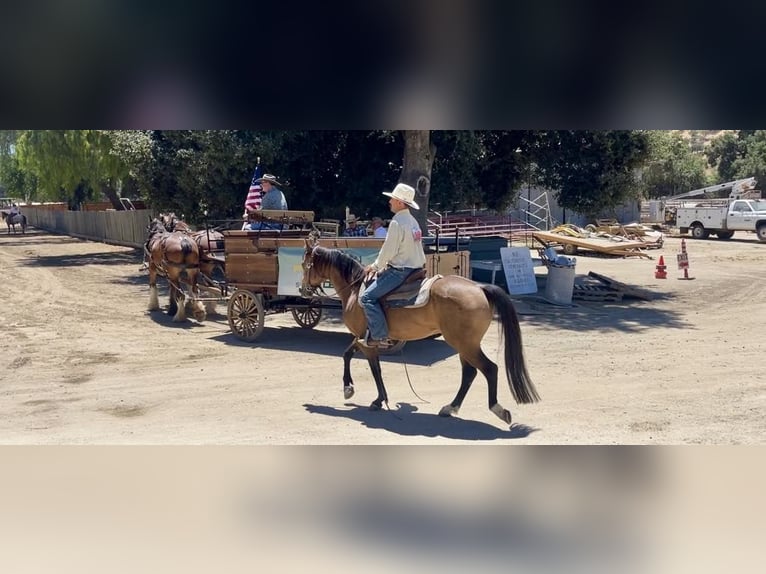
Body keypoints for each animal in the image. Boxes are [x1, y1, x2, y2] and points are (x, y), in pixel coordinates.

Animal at [300, 234, 540, 428]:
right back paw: (450, 408)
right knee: (469, 373)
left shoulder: (366, 340)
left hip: (465, 344)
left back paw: (498, 410)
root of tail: (480, 288)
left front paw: (369, 397)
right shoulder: (363, 338)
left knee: (489, 369)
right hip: (465, 345)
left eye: (304, 264)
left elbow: (371, 367)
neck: (355, 289)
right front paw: (355, 390)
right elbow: (349, 355)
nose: (303, 290)